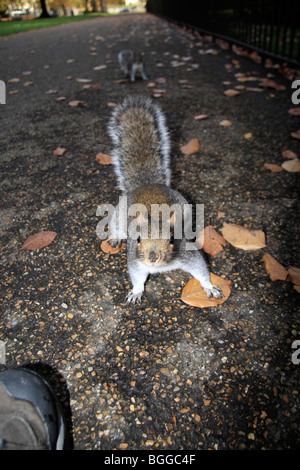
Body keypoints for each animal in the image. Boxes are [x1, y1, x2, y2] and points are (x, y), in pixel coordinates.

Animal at [107, 96, 223, 304]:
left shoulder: (188, 253)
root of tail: (147, 184)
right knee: (115, 226)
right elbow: (137, 277)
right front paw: (136, 292)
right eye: (138, 238)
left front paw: (209, 287)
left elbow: (201, 270)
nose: (153, 258)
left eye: (171, 238)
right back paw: (114, 237)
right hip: (119, 215)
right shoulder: (136, 261)